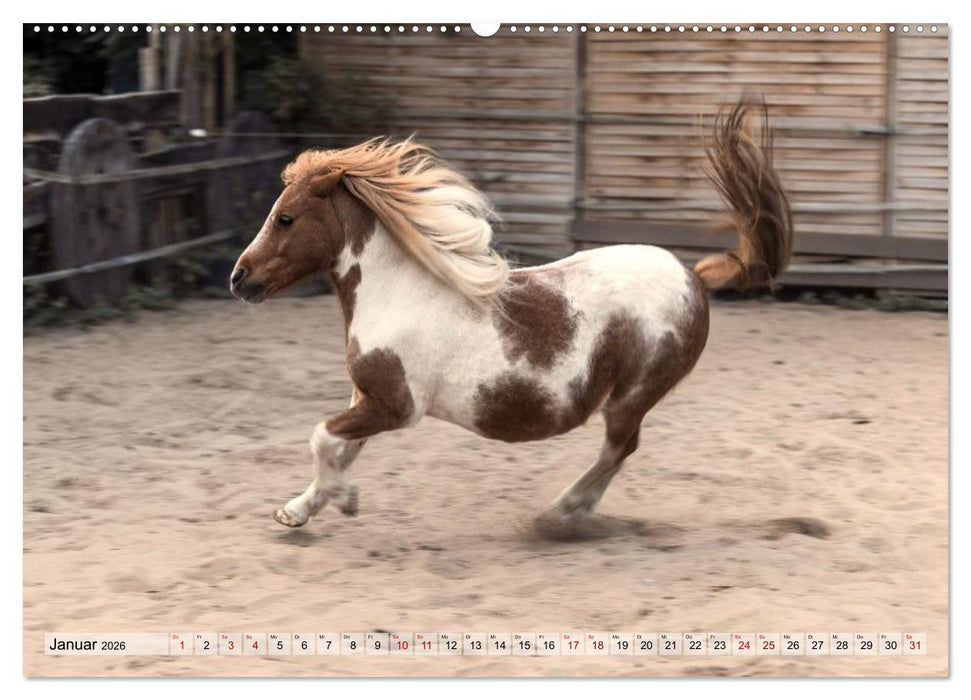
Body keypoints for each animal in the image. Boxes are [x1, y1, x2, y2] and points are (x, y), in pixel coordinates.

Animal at [230, 99, 793, 528]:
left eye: (285, 218)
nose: (238, 277)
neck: (396, 295)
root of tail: (693, 279)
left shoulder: (396, 406)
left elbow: (322, 436)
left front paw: (343, 500)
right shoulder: (368, 398)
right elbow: (340, 447)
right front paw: (298, 511)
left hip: (633, 393)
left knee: (621, 447)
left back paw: (561, 512)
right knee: (621, 449)